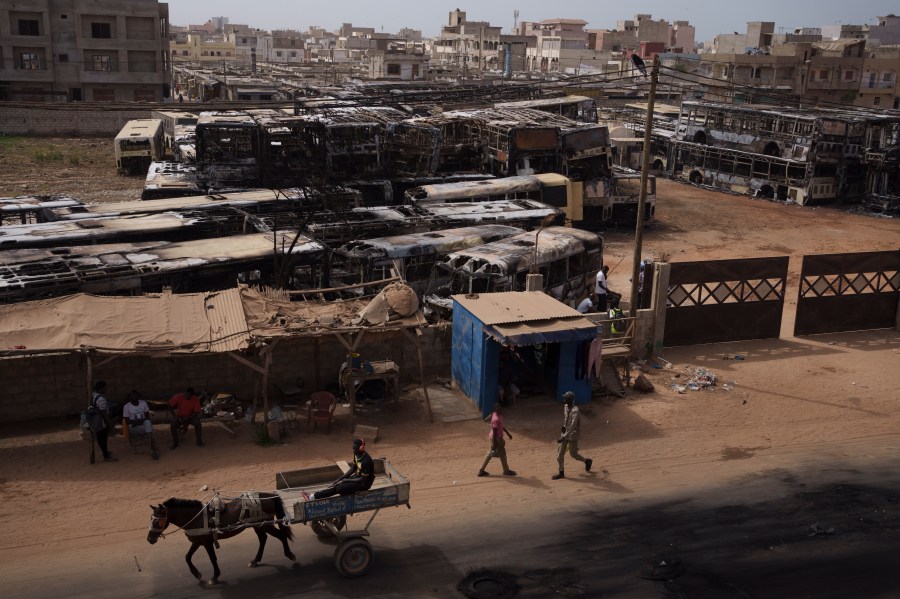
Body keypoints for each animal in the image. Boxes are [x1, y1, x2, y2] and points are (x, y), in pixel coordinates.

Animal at [148, 494, 296, 584]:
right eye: (151, 519)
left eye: (157, 522)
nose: (149, 539)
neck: (196, 517)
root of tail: (268, 496)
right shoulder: (197, 541)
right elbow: (187, 557)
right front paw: (197, 574)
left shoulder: (207, 542)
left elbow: (212, 558)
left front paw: (215, 576)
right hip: (258, 525)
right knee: (263, 539)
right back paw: (255, 560)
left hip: (265, 524)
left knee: (281, 535)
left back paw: (290, 554)